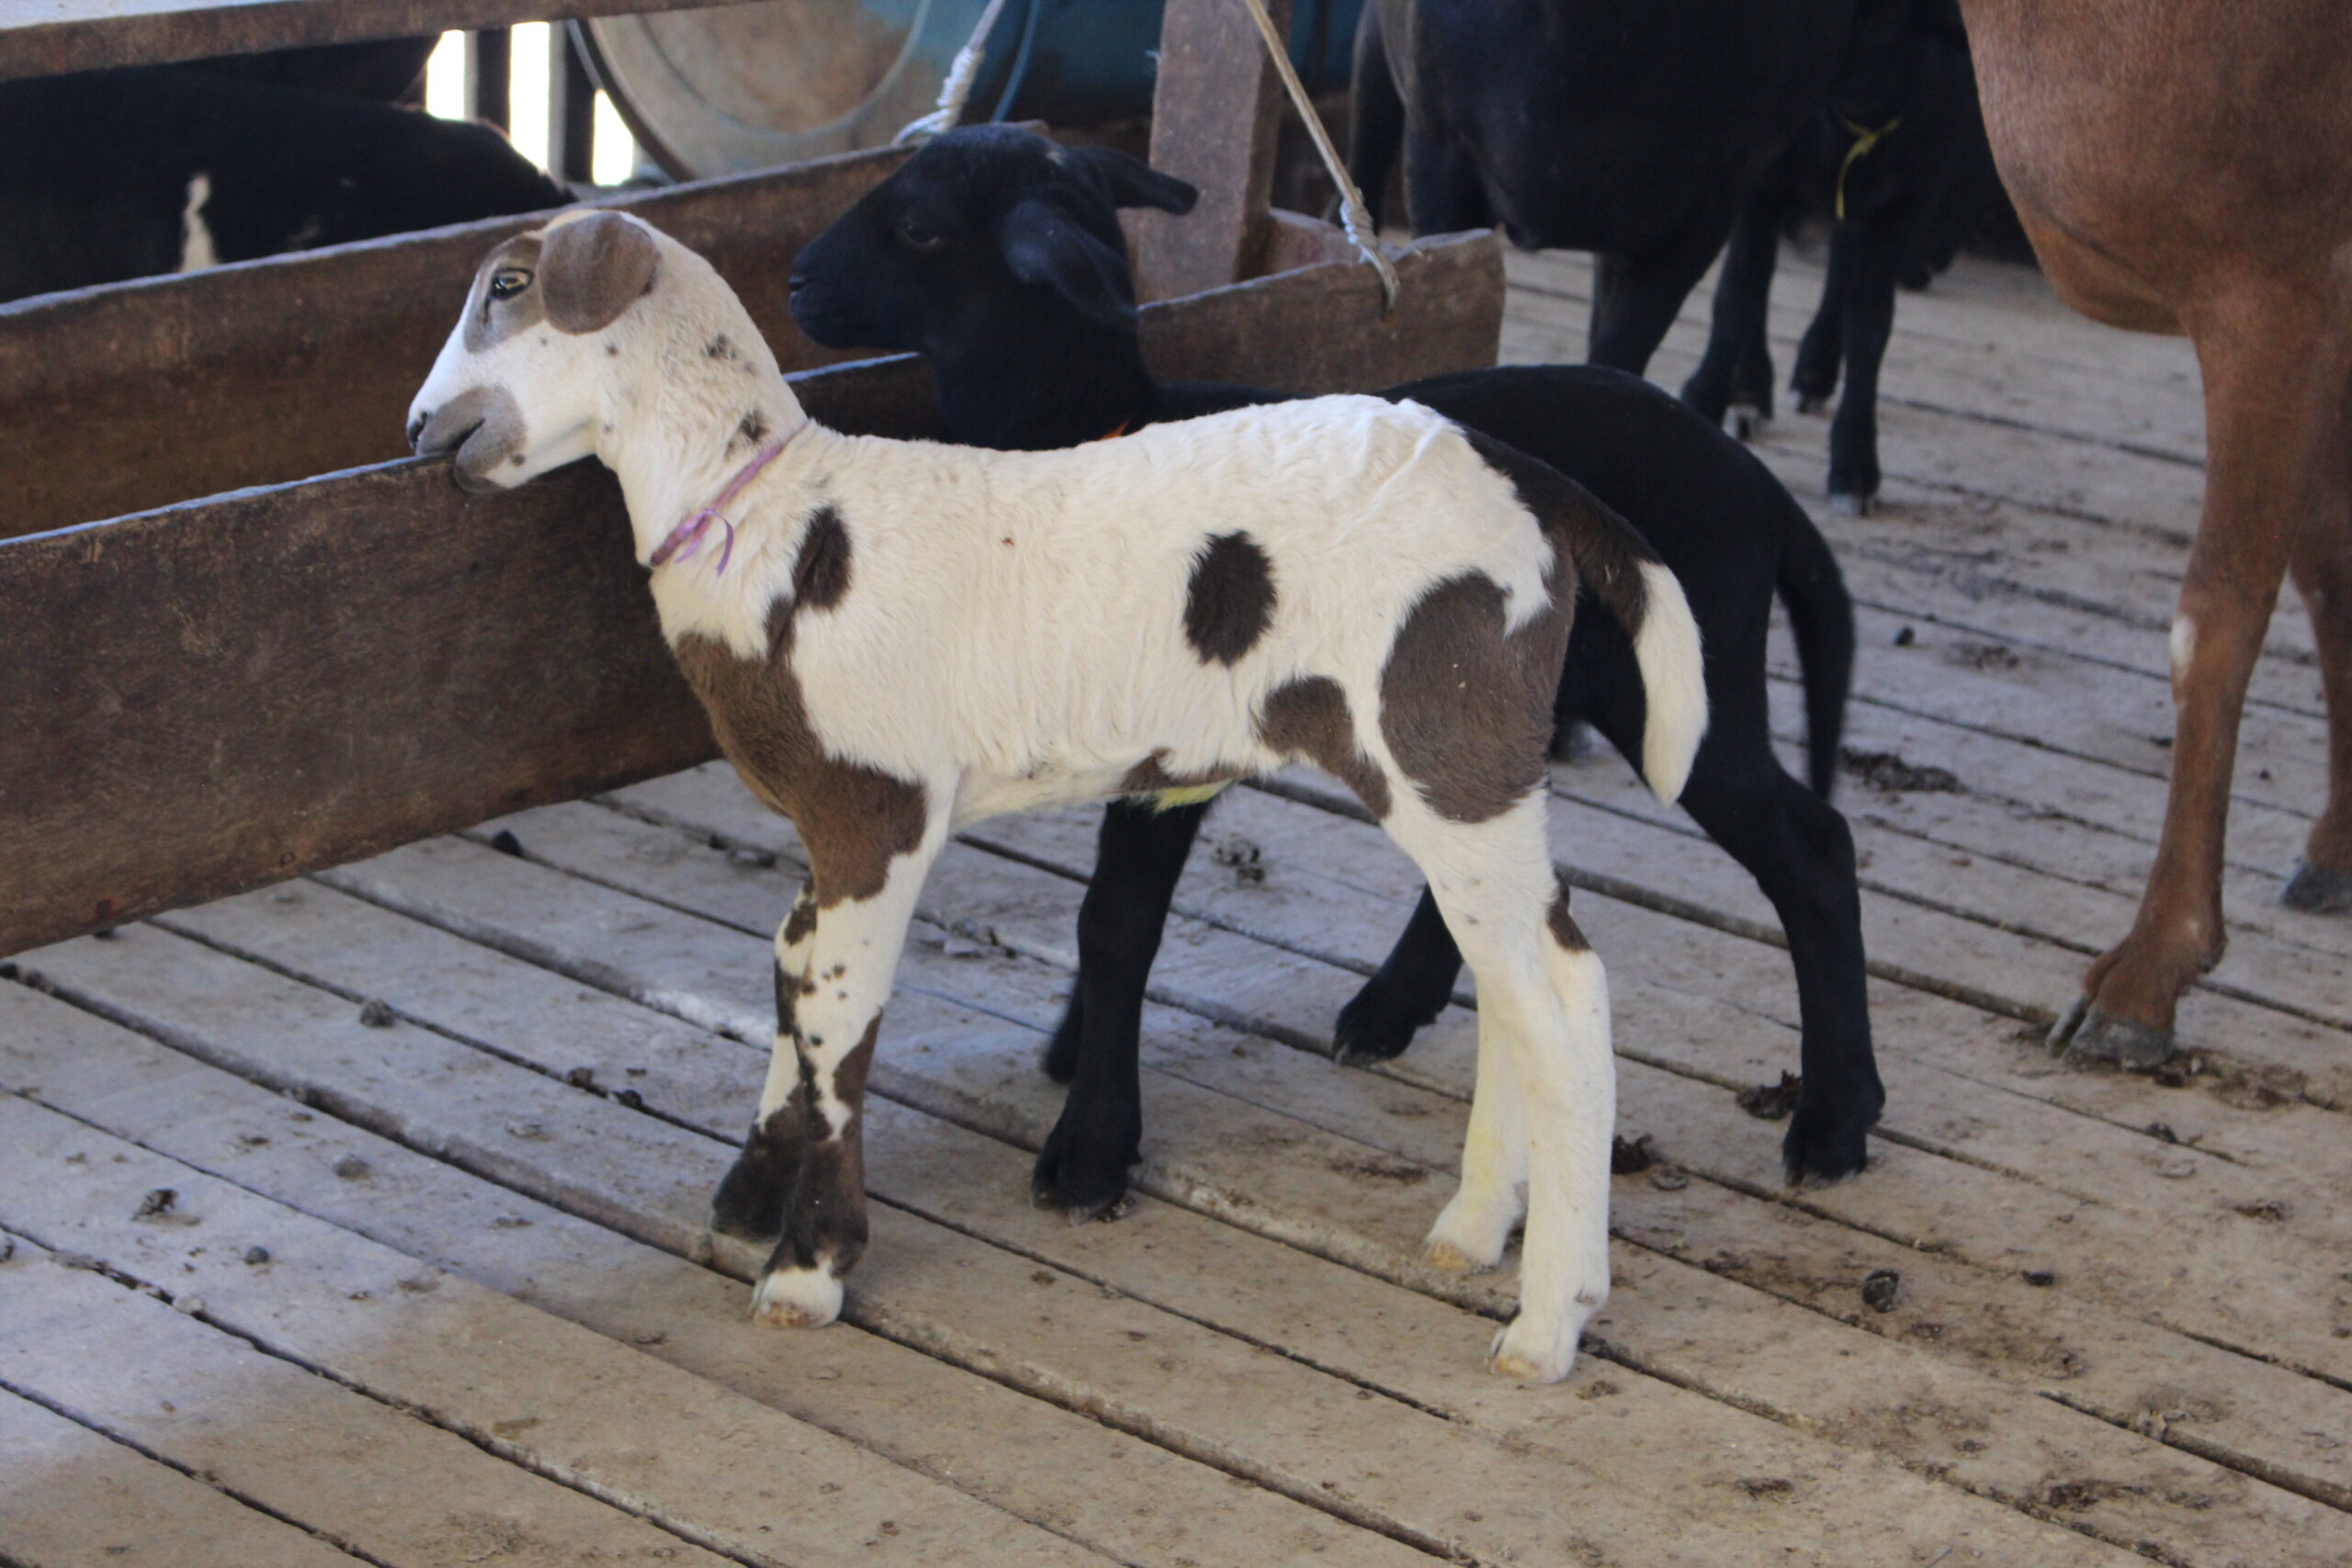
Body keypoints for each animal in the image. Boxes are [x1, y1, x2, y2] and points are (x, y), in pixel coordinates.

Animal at [413, 211, 1712, 1382]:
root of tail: (1531, 488)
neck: (780, 523)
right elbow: (789, 975)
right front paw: (750, 1192)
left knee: (1563, 999)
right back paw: (1474, 1231)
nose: (426, 429)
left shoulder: (876, 810)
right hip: (1465, 765)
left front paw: (808, 1269)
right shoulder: (825, 824)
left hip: (1444, 731)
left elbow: (839, 1023)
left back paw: (1547, 1324)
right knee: (1517, 983)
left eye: (510, 286)